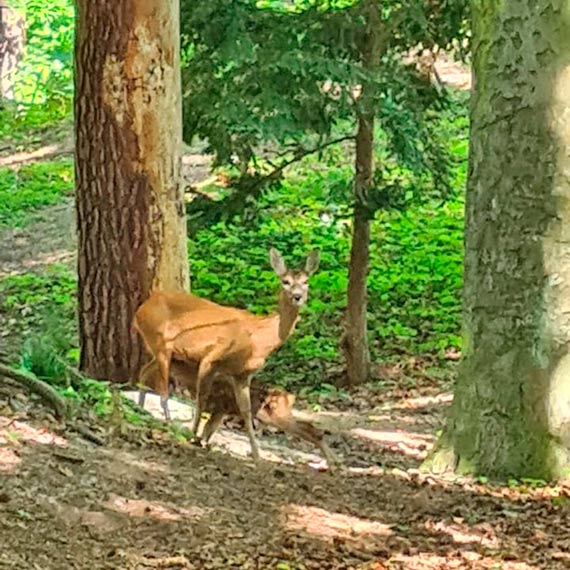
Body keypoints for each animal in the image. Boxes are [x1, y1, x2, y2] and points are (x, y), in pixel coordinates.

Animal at [134, 246, 320, 460]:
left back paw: (140, 410)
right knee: (163, 390)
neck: (259, 336)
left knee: (144, 373)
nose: (297, 296)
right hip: (162, 343)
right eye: (285, 281)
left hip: (163, 351)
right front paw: (193, 436)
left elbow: (246, 410)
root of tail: (140, 310)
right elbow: (201, 400)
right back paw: (169, 424)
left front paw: (256, 453)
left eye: (306, 281)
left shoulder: (242, 374)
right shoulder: (210, 358)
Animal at [142, 360, 338, 466]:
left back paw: (332, 461)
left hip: (277, 417)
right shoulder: (220, 410)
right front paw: (201, 443)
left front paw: (198, 442)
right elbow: (208, 430)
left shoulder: (219, 407)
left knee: (312, 430)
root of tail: (289, 397)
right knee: (312, 428)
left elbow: (206, 428)